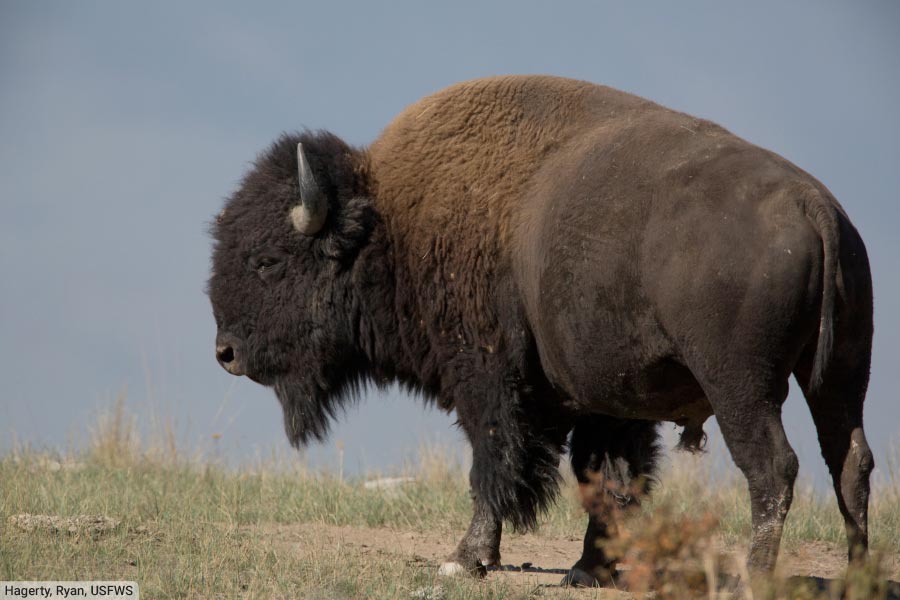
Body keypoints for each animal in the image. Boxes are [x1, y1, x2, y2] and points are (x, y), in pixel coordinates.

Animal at [208, 75, 874, 586]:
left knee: (773, 468)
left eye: (267, 260)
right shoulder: (610, 403)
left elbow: (494, 466)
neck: (391, 223)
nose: (226, 351)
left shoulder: (488, 382)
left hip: (741, 387)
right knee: (851, 464)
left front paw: (464, 560)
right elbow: (608, 480)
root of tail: (815, 205)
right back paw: (858, 572)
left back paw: (752, 577)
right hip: (840, 377)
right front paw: (589, 569)